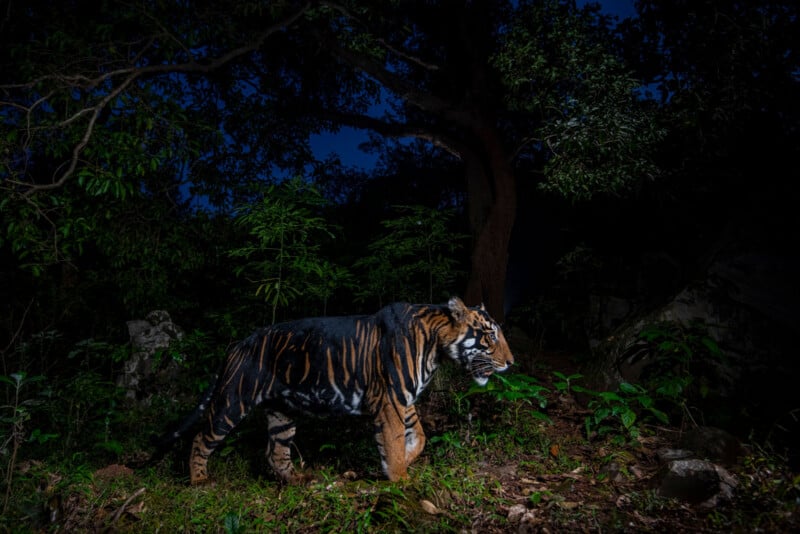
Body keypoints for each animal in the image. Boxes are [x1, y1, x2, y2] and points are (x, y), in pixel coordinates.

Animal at [151, 296, 514, 484]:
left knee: (275, 453)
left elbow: (419, 436)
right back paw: (199, 481)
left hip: (282, 413)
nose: (511, 363)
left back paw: (300, 480)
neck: (437, 347)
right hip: (233, 400)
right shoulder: (391, 399)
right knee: (201, 438)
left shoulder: (402, 399)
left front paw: (404, 460)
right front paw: (400, 478)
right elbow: (395, 441)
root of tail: (239, 344)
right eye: (490, 336)